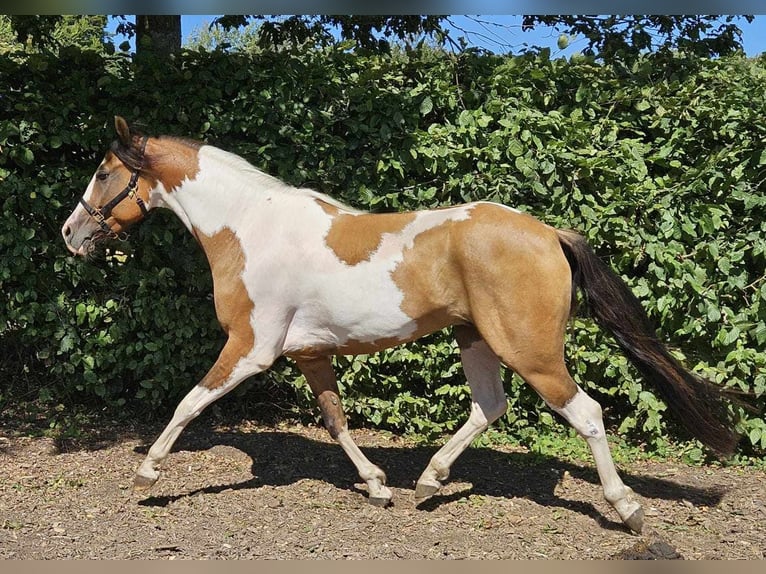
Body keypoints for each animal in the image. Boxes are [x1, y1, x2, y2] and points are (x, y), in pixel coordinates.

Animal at [64, 116, 736, 536]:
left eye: (102, 171)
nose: (72, 234)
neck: (247, 227)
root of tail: (549, 233)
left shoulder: (251, 348)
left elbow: (189, 401)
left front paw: (148, 472)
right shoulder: (309, 353)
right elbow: (335, 420)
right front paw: (378, 485)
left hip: (531, 350)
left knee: (587, 413)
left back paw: (627, 510)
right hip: (476, 339)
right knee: (489, 406)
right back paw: (429, 482)